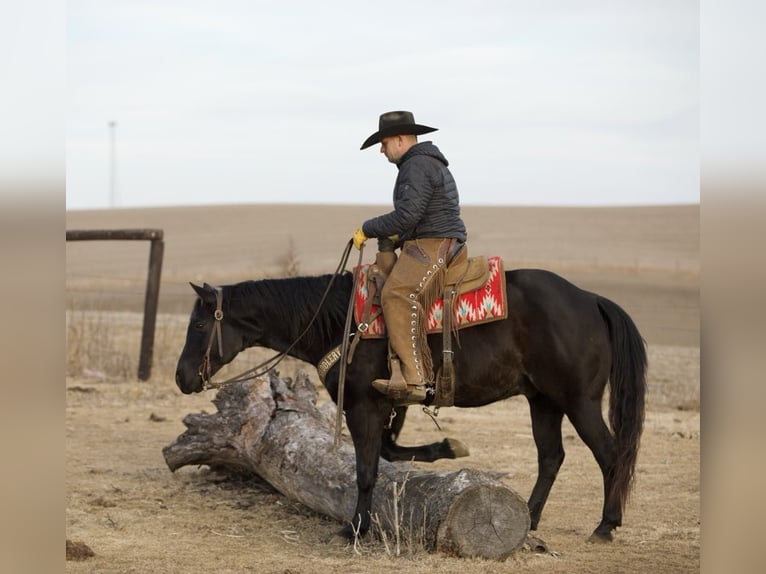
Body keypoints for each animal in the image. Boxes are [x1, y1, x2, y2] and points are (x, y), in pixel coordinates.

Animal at [176, 268, 648, 544]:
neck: (339, 320)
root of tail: (592, 299)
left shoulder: (363, 405)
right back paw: (529, 520)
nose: (182, 377)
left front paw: (354, 529)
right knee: (551, 457)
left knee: (610, 454)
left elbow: (366, 469)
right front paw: (448, 448)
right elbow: (388, 452)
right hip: (543, 401)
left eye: (198, 324)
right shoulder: (390, 404)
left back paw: (605, 526)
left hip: (579, 401)